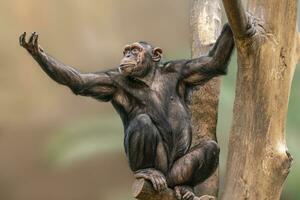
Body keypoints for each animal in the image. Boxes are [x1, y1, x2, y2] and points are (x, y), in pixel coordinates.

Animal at [19, 23, 234, 200]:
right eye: (127, 50)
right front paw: (36, 51)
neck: (148, 78)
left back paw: (185, 187)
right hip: (155, 168)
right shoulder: (112, 80)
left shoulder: (183, 69)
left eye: (136, 50)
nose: (128, 56)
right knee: (142, 122)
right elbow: (80, 81)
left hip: (175, 172)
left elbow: (213, 62)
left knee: (210, 148)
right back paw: (145, 171)